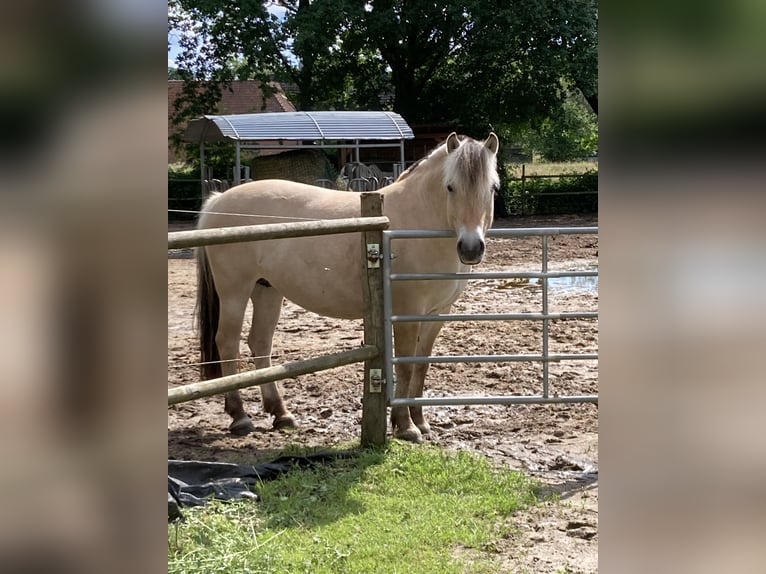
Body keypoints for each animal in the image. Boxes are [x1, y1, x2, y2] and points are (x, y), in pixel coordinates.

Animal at [195, 133, 500, 444]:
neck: (419, 221)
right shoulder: (406, 312)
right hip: (234, 292)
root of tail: (218, 199)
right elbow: (404, 365)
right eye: (450, 187)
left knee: (260, 343)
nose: (471, 248)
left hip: (267, 290)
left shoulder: (436, 313)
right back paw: (240, 417)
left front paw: (421, 421)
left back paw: (281, 413)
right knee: (227, 343)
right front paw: (405, 426)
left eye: (493, 188)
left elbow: (421, 364)